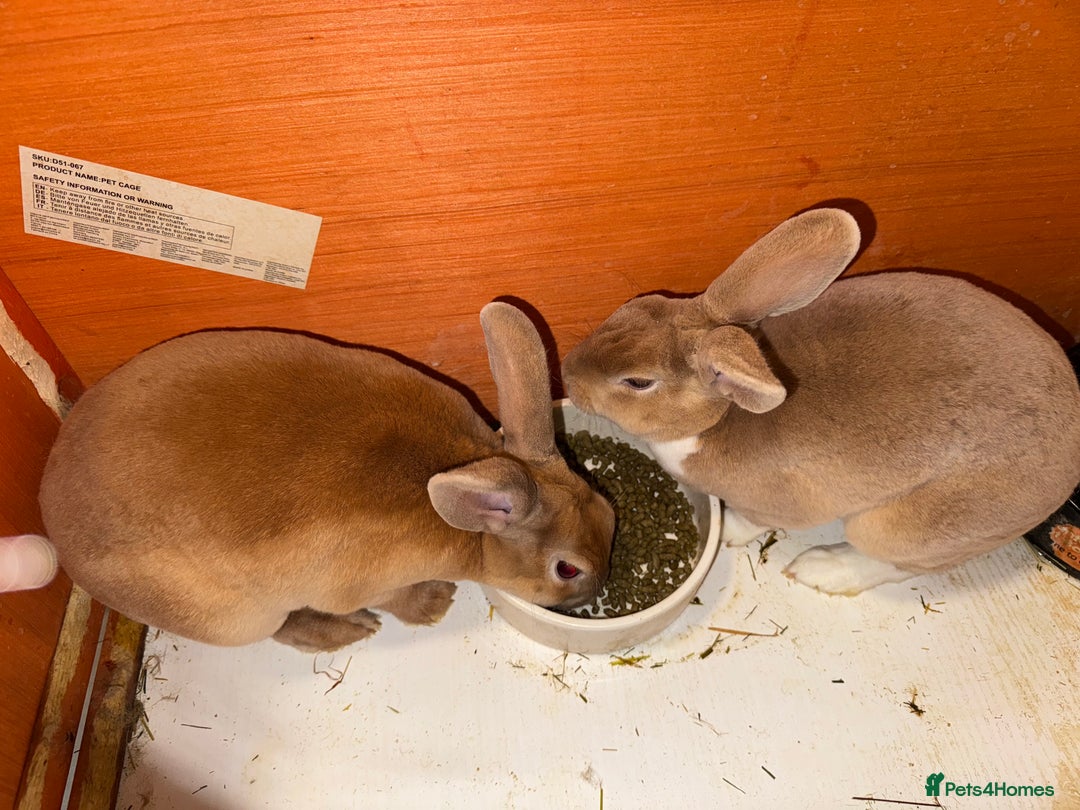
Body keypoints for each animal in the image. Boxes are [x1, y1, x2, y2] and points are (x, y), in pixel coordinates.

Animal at [38, 302, 614, 651]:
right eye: (567, 569)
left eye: (610, 512)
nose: (595, 594)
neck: (470, 533)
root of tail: (54, 523)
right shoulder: (360, 580)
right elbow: (393, 600)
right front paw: (433, 605)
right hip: (238, 614)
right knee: (282, 630)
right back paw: (349, 631)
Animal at [562, 208, 1080, 595]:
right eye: (633, 306)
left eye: (638, 382)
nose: (566, 371)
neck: (720, 415)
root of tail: (1069, 464)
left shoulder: (781, 506)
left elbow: (754, 520)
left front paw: (728, 532)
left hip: (906, 526)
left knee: (895, 563)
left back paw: (820, 568)